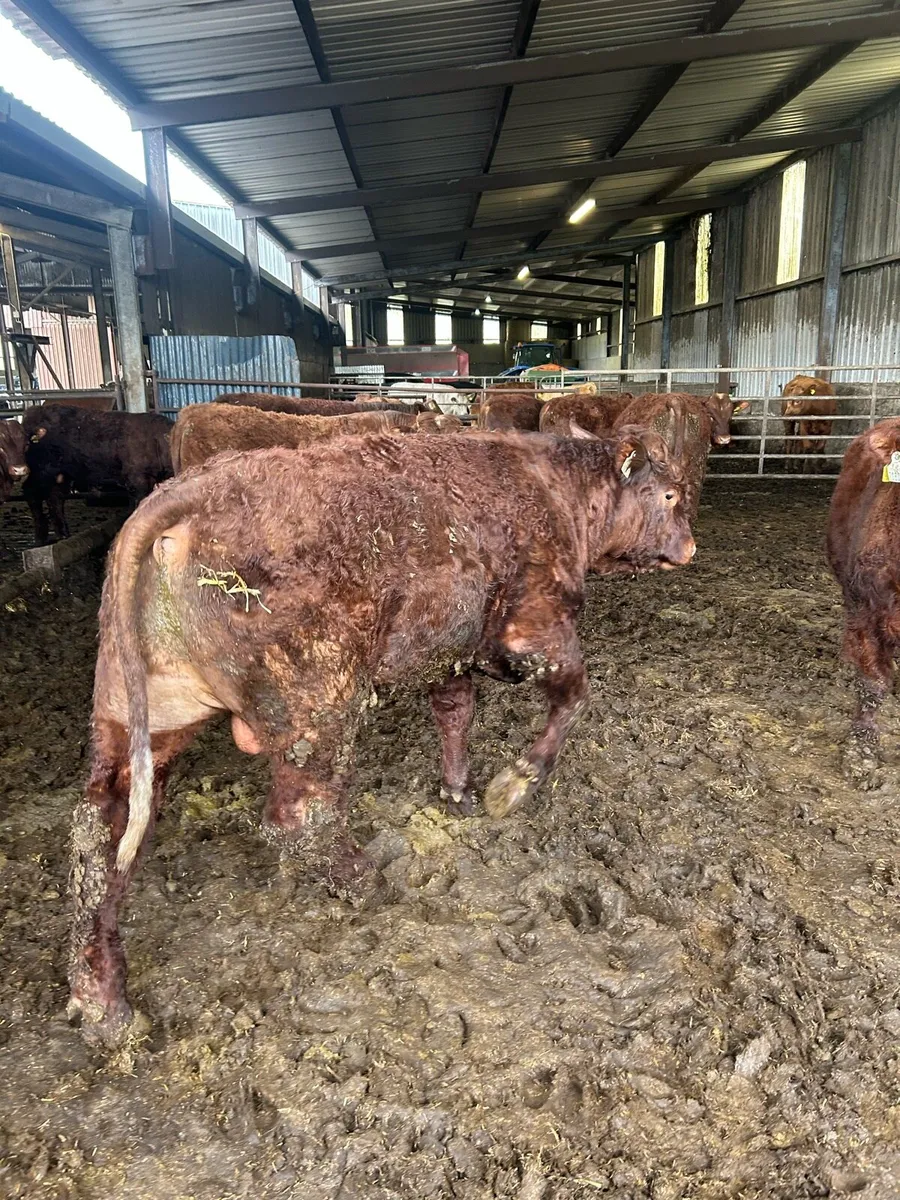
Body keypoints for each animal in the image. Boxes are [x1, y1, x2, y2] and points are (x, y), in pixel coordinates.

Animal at [22, 405, 172, 545]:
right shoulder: (137, 479)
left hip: (61, 474)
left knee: (55, 498)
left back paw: (63, 534)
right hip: (39, 472)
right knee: (31, 493)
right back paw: (40, 536)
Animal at [68, 427, 695, 1046]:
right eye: (668, 495)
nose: (690, 547)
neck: (554, 488)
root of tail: (189, 493)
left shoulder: (448, 653)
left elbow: (455, 712)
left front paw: (458, 791)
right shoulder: (534, 630)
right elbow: (574, 697)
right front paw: (514, 783)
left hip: (140, 714)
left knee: (102, 834)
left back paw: (103, 1003)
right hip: (320, 701)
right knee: (300, 818)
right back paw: (365, 882)